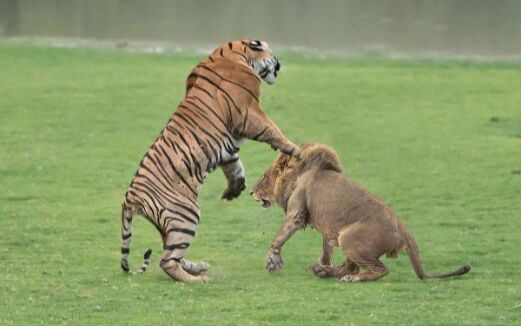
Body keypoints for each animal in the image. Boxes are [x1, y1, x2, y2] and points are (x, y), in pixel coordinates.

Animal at [118, 39, 296, 282]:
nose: (280, 63)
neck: (236, 54)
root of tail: (129, 198)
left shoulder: (230, 143)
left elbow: (234, 166)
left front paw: (234, 190)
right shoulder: (248, 112)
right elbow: (272, 129)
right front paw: (293, 148)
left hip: (169, 225)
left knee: (171, 253)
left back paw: (198, 267)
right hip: (186, 215)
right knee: (167, 262)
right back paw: (198, 279)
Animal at [250, 144, 470, 282]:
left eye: (263, 178)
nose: (250, 192)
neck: (299, 174)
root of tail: (403, 229)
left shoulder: (296, 212)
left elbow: (279, 237)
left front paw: (272, 262)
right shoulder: (328, 230)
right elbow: (325, 250)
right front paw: (323, 263)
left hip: (349, 238)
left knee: (378, 270)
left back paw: (351, 278)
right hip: (345, 237)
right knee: (352, 266)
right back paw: (323, 271)